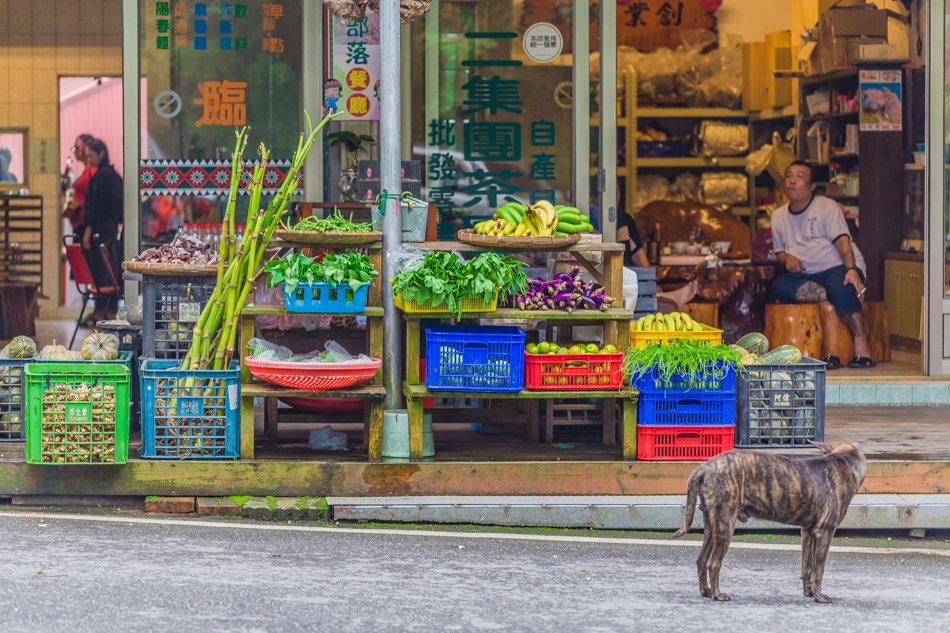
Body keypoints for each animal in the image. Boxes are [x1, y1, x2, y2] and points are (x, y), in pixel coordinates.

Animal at [672, 440, 868, 604]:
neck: (842, 461)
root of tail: (703, 468)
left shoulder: (808, 532)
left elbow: (807, 568)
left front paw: (809, 592)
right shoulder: (825, 532)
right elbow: (818, 570)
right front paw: (819, 596)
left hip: (712, 525)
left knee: (701, 559)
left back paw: (706, 590)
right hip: (725, 524)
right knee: (713, 563)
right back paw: (717, 594)